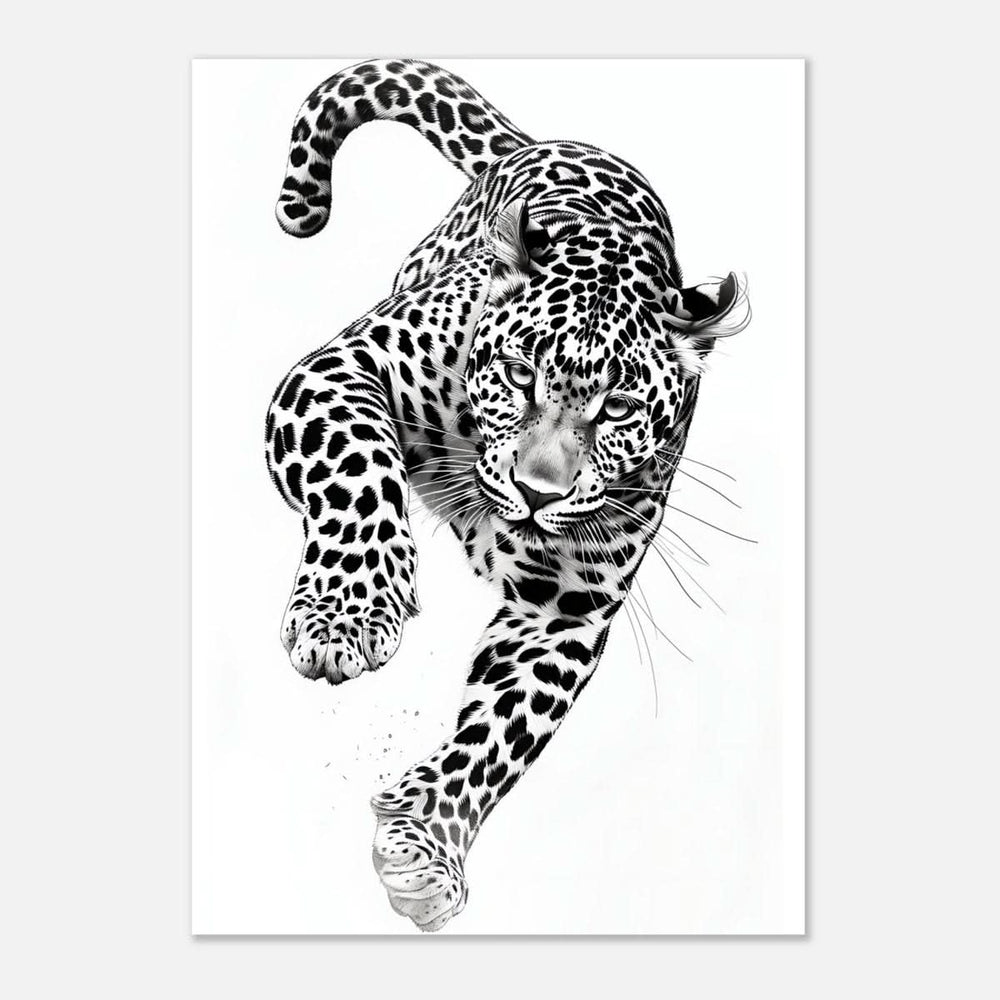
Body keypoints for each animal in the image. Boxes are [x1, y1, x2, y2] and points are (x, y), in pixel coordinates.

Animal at [266, 58, 750, 932]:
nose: (533, 490)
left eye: (618, 408)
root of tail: (549, 140)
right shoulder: (337, 370)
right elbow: (361, 471)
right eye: (520, 374)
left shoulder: (565, 606)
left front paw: (426, 844)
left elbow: (501, 731)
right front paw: (347, 615)